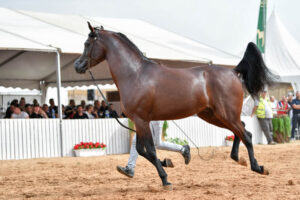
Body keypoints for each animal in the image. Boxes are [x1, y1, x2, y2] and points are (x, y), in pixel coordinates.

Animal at [74, 22, 274, 190]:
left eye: (87, 44)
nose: (77, 66)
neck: (135, 74)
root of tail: (233, 71)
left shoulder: (141, 120)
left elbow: (150, 150)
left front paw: (165, 179)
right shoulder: (140, 121)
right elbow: (141, 150)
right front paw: (166, 163)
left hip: (226, 114)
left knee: (246, 135)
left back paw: (258, 167)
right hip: (213, 115)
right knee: (243, 130)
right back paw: (239, 159)